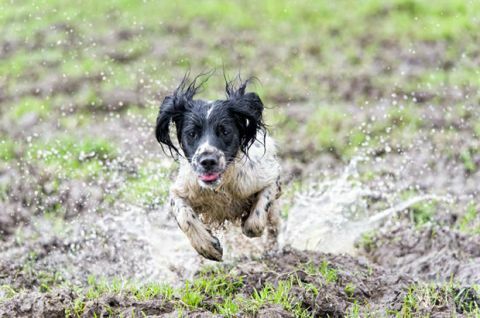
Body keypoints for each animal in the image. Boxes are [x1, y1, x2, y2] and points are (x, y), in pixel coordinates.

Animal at [154, 74, 282, 260]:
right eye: (192, 133)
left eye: (225, 131)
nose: (207, 161)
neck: (221, 187)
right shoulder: (182, 190)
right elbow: (184, 215)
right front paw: (207, 246)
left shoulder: (270, 179)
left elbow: (258, 215)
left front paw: (248, 224)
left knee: (274, 227)